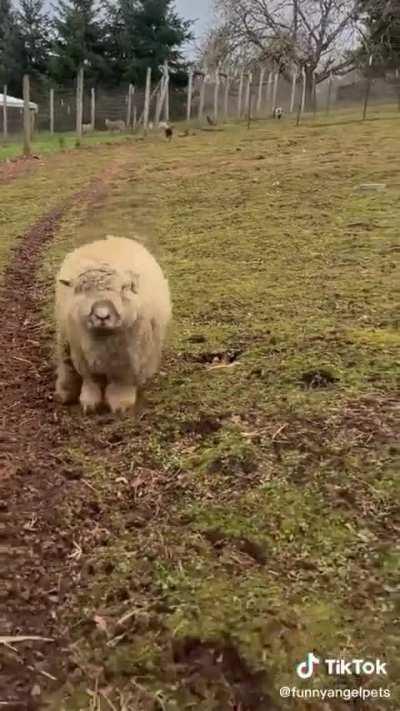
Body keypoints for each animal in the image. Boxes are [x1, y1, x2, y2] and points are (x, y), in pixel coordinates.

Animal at [55, 236, 172, 414]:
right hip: (65, 342)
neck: (104, 338)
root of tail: (107, 240)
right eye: (80, 290)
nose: (102, 315)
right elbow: (91, 380)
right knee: (66, 366)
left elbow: (121, 381)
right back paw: (65, 393)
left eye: (123, 289)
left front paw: (120, 403)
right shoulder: (82, 355)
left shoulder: (129, 359)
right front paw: (89, 403)